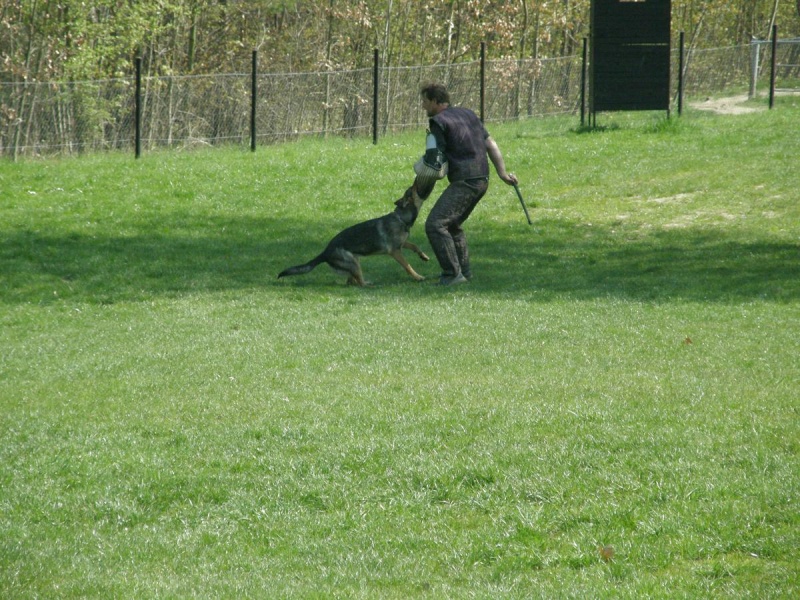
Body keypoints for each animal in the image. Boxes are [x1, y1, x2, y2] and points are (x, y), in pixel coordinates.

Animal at [278, 185, 429, 286]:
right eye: (412, 189)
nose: (415, 183)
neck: (401, 218)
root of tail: (325, 252)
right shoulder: (395, 251)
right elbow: (408, 266)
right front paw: (418, 277)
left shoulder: (402, 244)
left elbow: (415, 246)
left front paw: (424, 256)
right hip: (354, 263)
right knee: (359, 282)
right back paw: (368, 284)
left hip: (355, 261)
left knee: (351, 281)